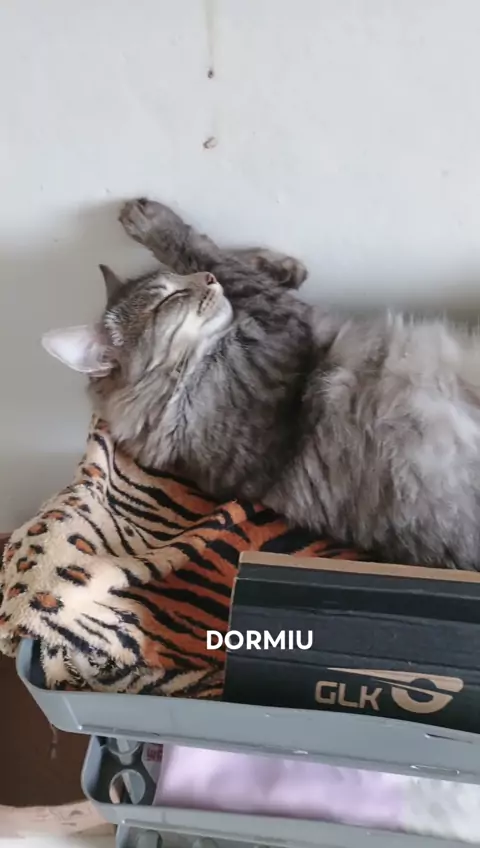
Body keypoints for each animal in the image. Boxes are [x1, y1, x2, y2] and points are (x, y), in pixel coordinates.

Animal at [42, 198, 480, 570]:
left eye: (181, 280)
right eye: (168, 299)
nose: (207, 280)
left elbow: (231, 266)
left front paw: (281, 267)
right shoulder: (279, 330)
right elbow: (216, 258)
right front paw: (152, 221)